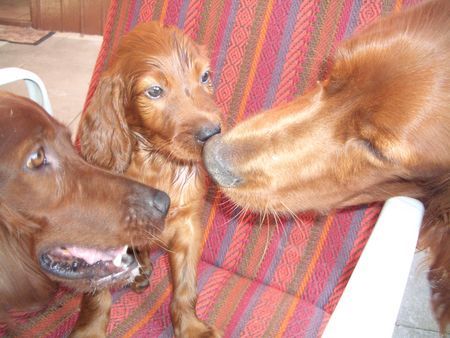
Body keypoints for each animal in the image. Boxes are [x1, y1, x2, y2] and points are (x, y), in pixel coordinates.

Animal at [79, 22, 223, 336]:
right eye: (154, 91)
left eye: (205, 76)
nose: (212, 134)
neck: (158, 162)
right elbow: (95, 295)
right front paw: (89, 329)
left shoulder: (187, 227)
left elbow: (185, 288)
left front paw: (191, 327)